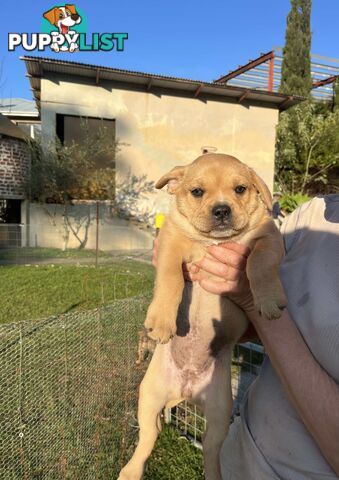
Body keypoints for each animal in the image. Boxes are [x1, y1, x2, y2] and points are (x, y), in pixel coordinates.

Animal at [118, 155, 288, 480]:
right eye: (197, 192)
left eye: (240, 189)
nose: (221, 210)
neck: (212, 243)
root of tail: (184, 389)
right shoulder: (171, 241)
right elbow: (170, 277)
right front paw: (162, 320)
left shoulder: (269, 238)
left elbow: (259, 263)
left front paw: (269, 299)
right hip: (149, 396)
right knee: (148, 436)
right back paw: (130, 471)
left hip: (220, 411)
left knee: (210, 449)